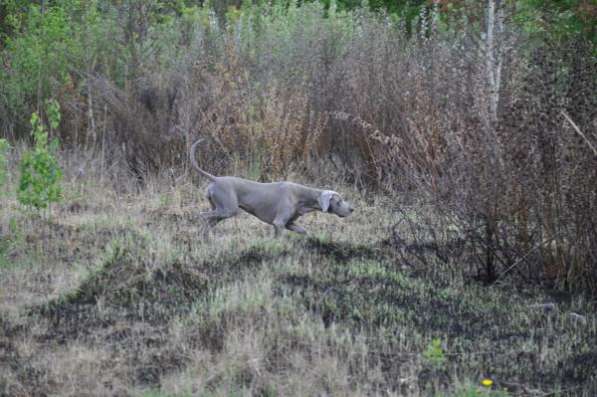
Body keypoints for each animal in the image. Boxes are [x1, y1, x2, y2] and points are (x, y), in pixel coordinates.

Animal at [190, 140, 354, 235]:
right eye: (339, 201)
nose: (352, 209)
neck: (302, 197)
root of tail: (216, 178)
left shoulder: (290, 224)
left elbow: (304, 231)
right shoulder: (279, 223)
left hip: (220, 210)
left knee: (209, 221)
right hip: (228, 209)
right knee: (202, 216)